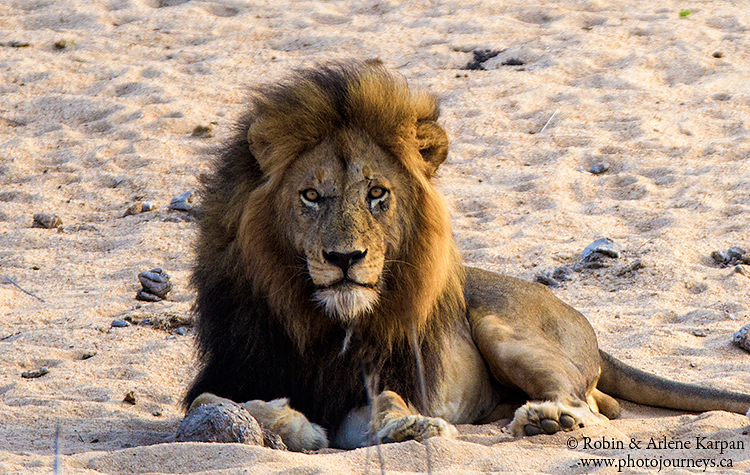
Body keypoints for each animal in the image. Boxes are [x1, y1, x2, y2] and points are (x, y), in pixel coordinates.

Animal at [184, 61, 750, 452]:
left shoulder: (378, 378)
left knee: (586, 403)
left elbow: (386, 402)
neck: (322, 324)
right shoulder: (226, 374)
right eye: (310, 196)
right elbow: (215, 403)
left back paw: (547, 419)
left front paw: (409, 425)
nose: (346, 257)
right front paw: (296, 426)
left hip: (503, 331)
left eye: (376, 193)